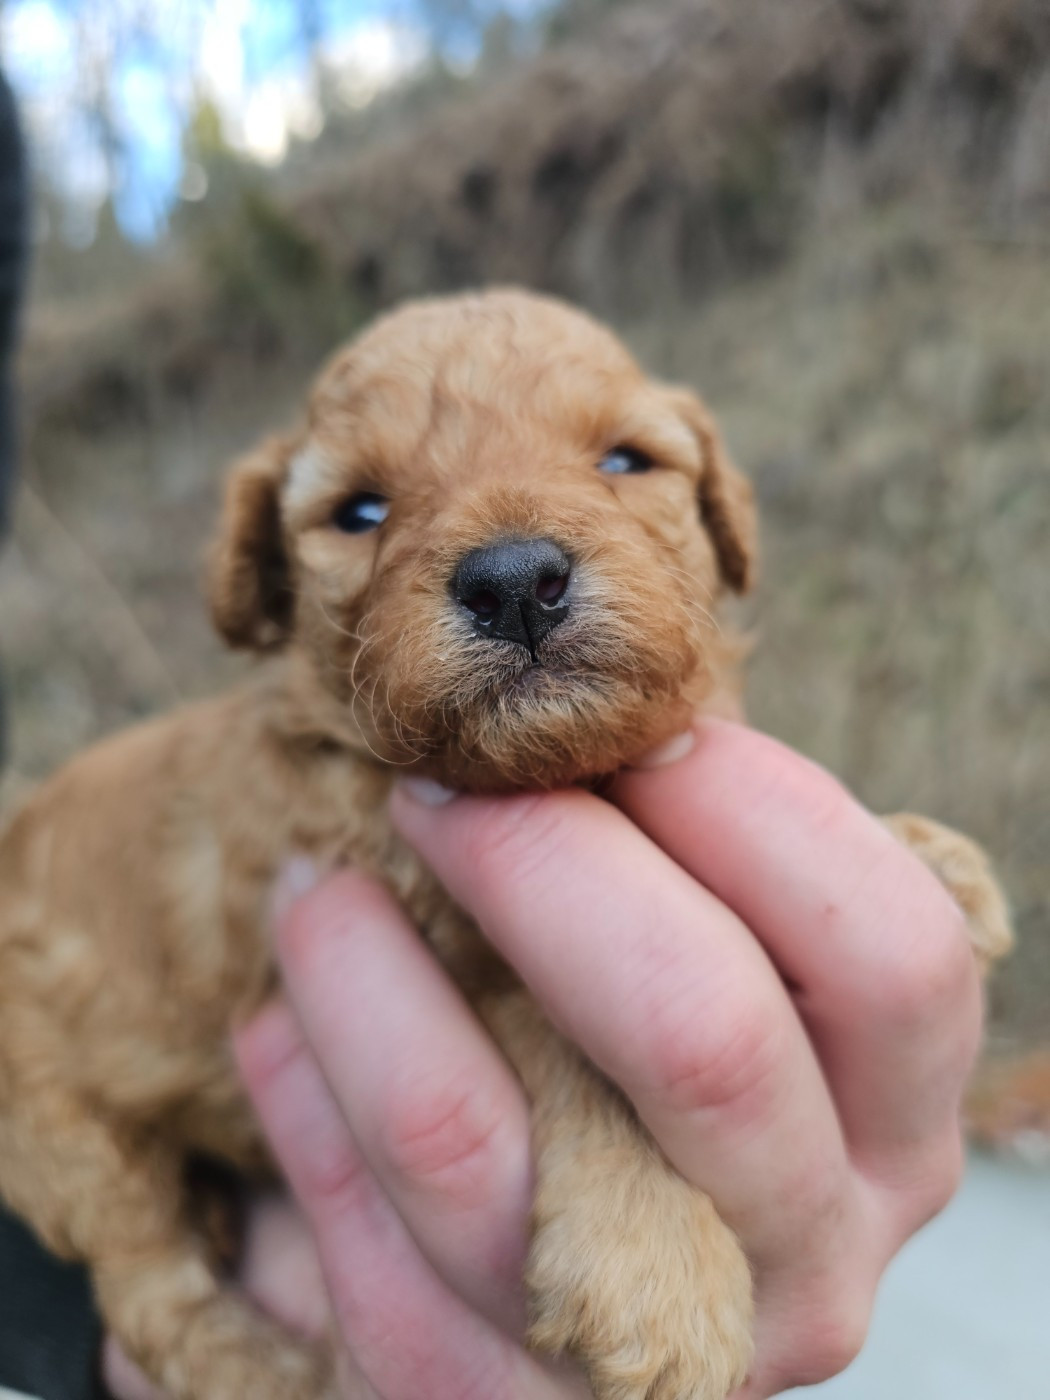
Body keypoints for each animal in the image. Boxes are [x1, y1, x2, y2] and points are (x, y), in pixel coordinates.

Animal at [0, 289, 1012, 1400]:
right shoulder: (426, 925)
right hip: (55, 1123)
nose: (517, 580)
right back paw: (265, 1364)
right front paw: (657, 1262)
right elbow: (559, 1025)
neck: (556, 773)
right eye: (359, 511)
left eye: (624, 459)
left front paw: (923, 856)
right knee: (147, 1283)